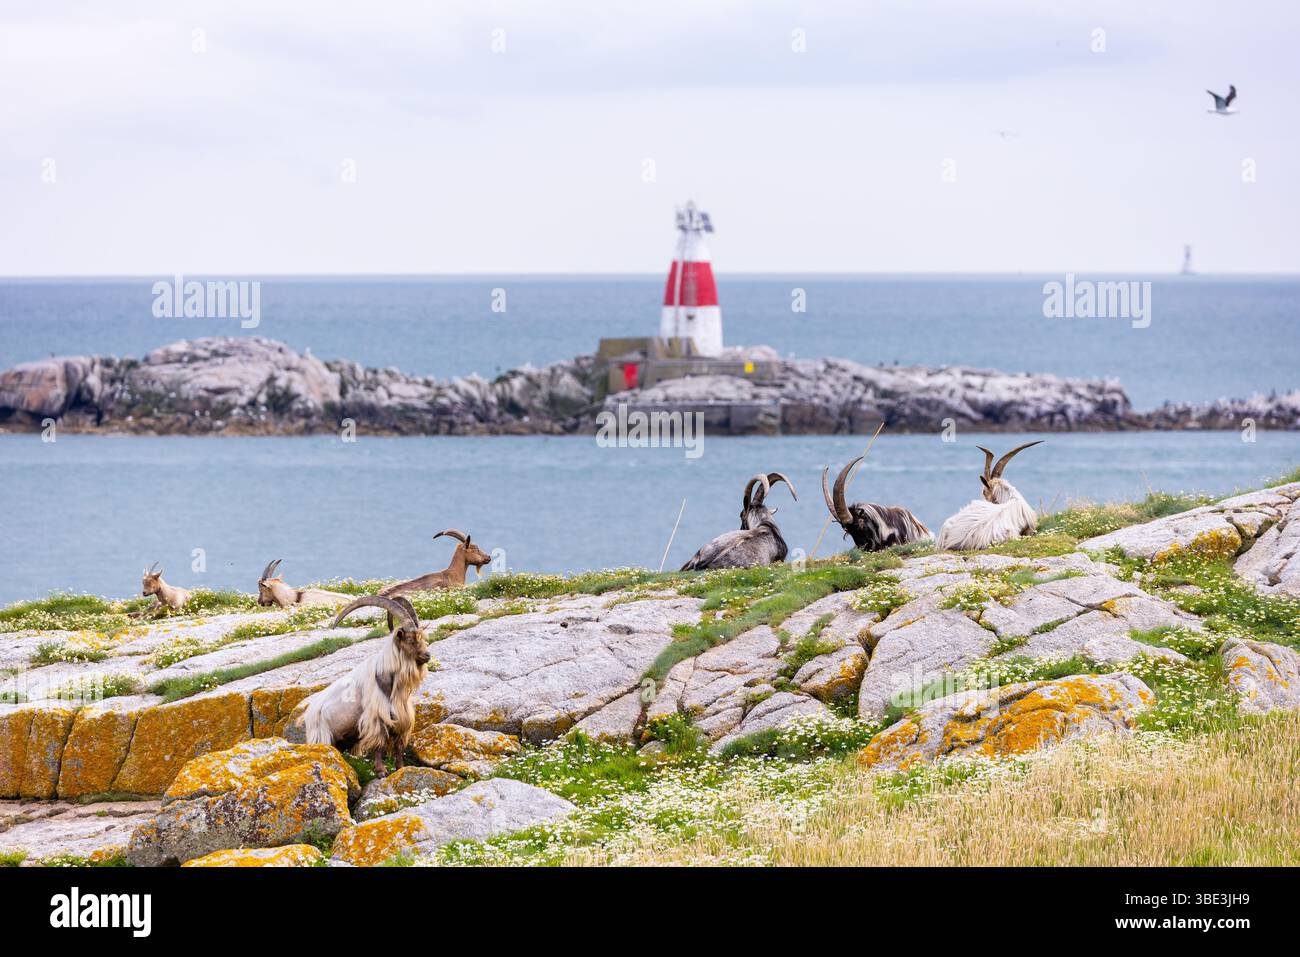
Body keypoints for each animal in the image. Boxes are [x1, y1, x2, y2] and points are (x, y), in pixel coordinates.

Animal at [301, 595, 432, 777]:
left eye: (422, 638)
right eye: (410, 639)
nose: (427, 655)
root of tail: (308, 714)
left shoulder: (401, 717)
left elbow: (398, 745)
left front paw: (400, 768)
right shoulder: (376, 716)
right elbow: (379, 744)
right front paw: (381, 771)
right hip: (322, 736)